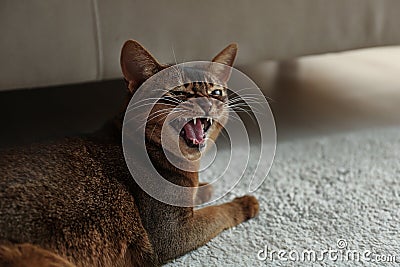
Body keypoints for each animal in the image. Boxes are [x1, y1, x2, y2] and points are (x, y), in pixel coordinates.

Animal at [0, 40, 260, 266]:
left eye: (216, 93)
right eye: (178, 93)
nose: (208, 103)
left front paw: (204, 188)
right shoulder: (173, 234)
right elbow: (218, 213)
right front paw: (243, 203)